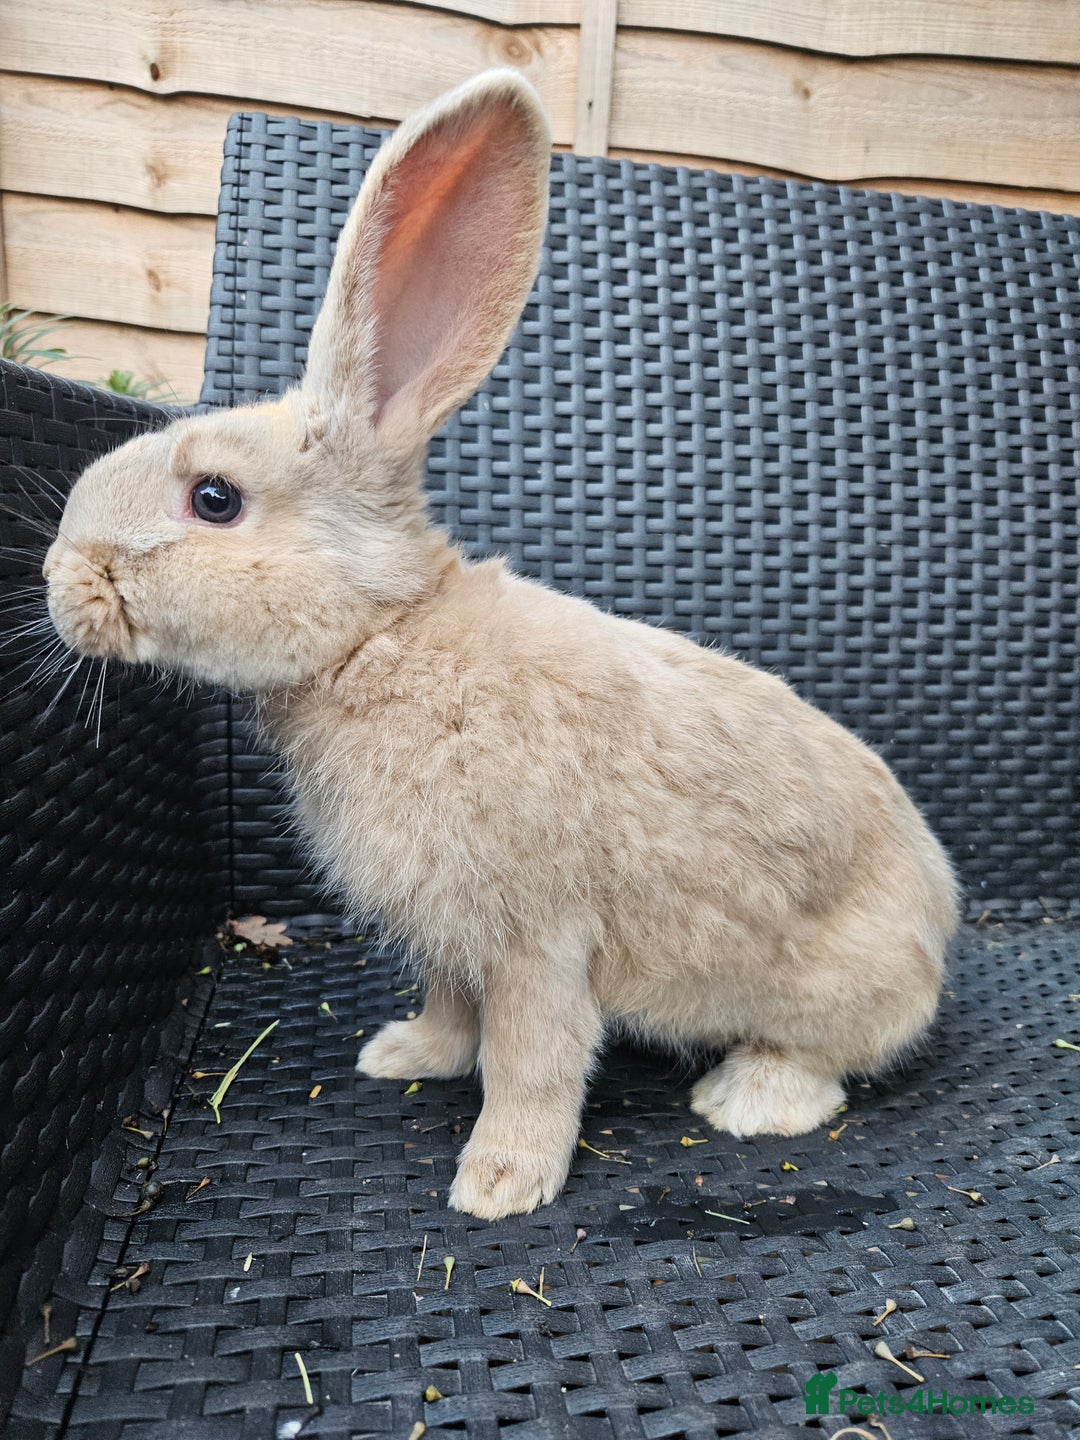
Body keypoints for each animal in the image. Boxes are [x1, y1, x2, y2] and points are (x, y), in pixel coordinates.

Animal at [43, 69, 959, 1220]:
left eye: (214, 499)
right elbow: (453, 1006)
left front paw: (500, 1182)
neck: (379, 639)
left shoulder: (538, 941)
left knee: (828, 1059)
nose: (58, 579)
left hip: (830, 990)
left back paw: (745, 1100)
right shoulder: (451, 934)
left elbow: (533, 1059)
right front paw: (407, 1054)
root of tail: (940, 931)